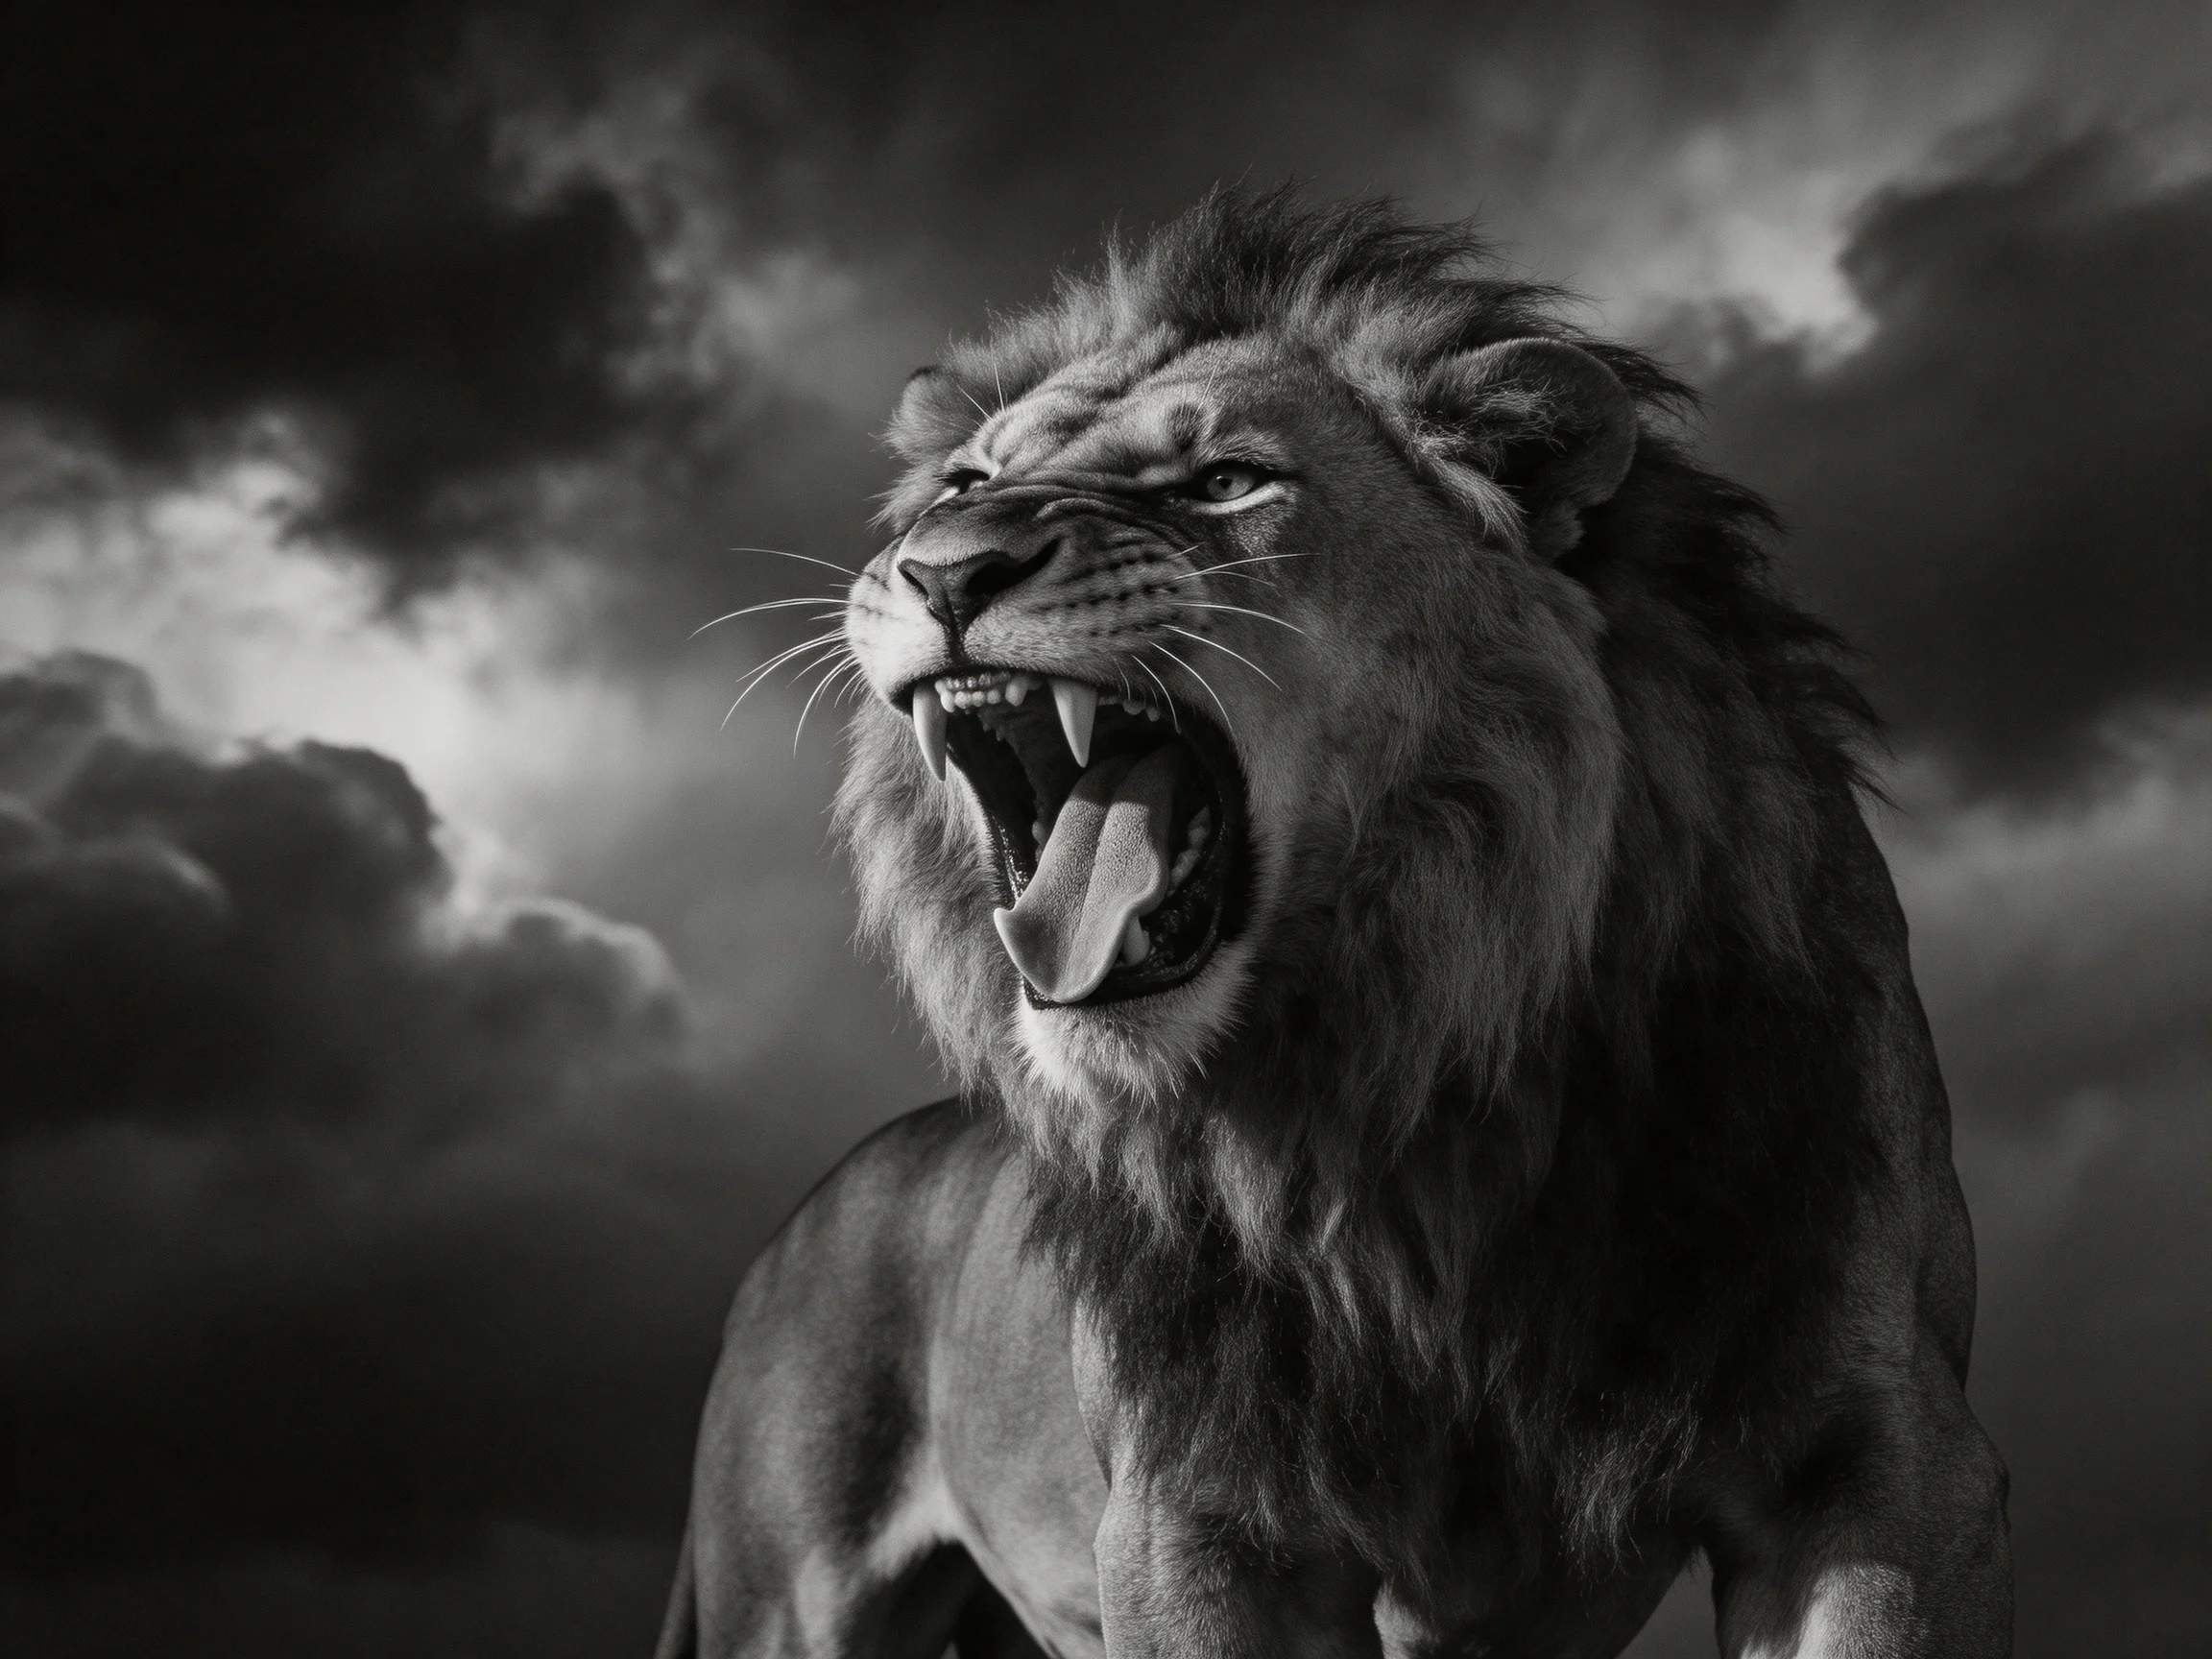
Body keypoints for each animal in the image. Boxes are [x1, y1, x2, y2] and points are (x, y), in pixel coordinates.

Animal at [656, 192, 2012, 1658]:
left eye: (1224, 482)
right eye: (965, 484)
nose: (948, 568)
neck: (1415, 1073)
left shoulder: (1877, 1465)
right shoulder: (1198, 1510)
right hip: (789, 1604)